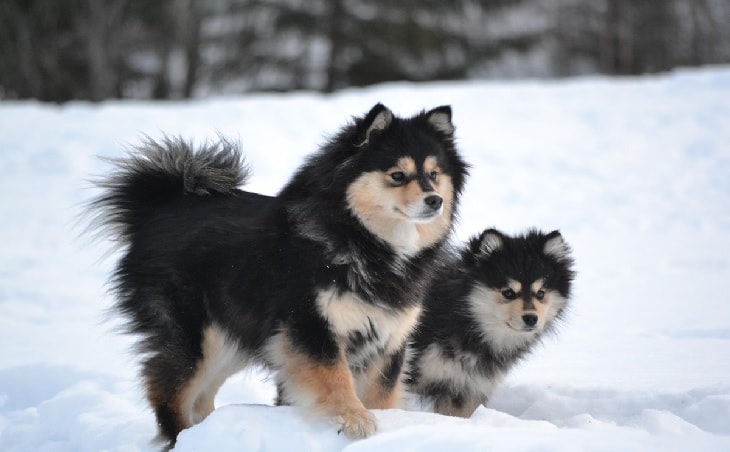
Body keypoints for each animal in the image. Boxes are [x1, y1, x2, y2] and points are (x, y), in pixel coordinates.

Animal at [86, 104, 466, 446]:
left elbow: (382, 394)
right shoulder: (310, 326)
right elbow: (336, 377)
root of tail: (159, 207)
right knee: (168, 394)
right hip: (195, 336)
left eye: (434, 175)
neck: (362, 240)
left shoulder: (389, 340)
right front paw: (354, 419)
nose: (434, 201)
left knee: (200, 396)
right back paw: (180, 437)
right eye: (397, 175)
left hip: (233, 339)